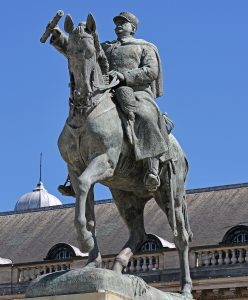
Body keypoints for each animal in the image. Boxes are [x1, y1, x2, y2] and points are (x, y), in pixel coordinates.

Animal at [50, 13, 193, 296]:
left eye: (91, 52)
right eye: (69, 52)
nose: (81, 94)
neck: (86, 113)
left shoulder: (104, 161)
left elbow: (84, 186)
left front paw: (84, 241)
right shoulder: (75, 167)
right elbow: (88, 210)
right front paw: (91, 261)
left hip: (171, 195)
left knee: (180, 237)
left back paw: (184, 289)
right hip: (126, 194)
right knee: (139, 233)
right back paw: (117, 269)